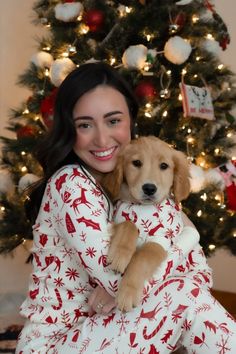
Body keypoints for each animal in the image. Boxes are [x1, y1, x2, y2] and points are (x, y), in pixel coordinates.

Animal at [101, 136, 195, 312]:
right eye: (136, 163)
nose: (149, 188)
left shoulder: (161, 240)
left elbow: (142, 257)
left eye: (164, 166)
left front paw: (128, 292)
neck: (142, 207)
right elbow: (129, 224)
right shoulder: (116, 220)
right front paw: (120, 255)